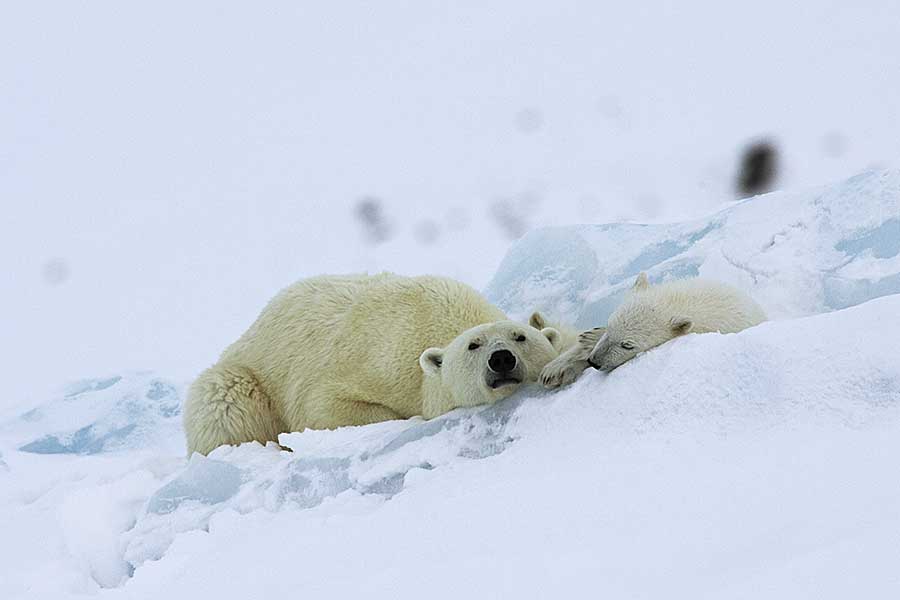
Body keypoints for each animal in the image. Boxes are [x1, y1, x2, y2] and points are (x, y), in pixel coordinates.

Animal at [185, 272, 572, 454]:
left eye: (520, 337)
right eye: (473, 345)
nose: (501, 359)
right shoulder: (378, 360)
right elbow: (322, 407)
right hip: (241, 381)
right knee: (224, 404)